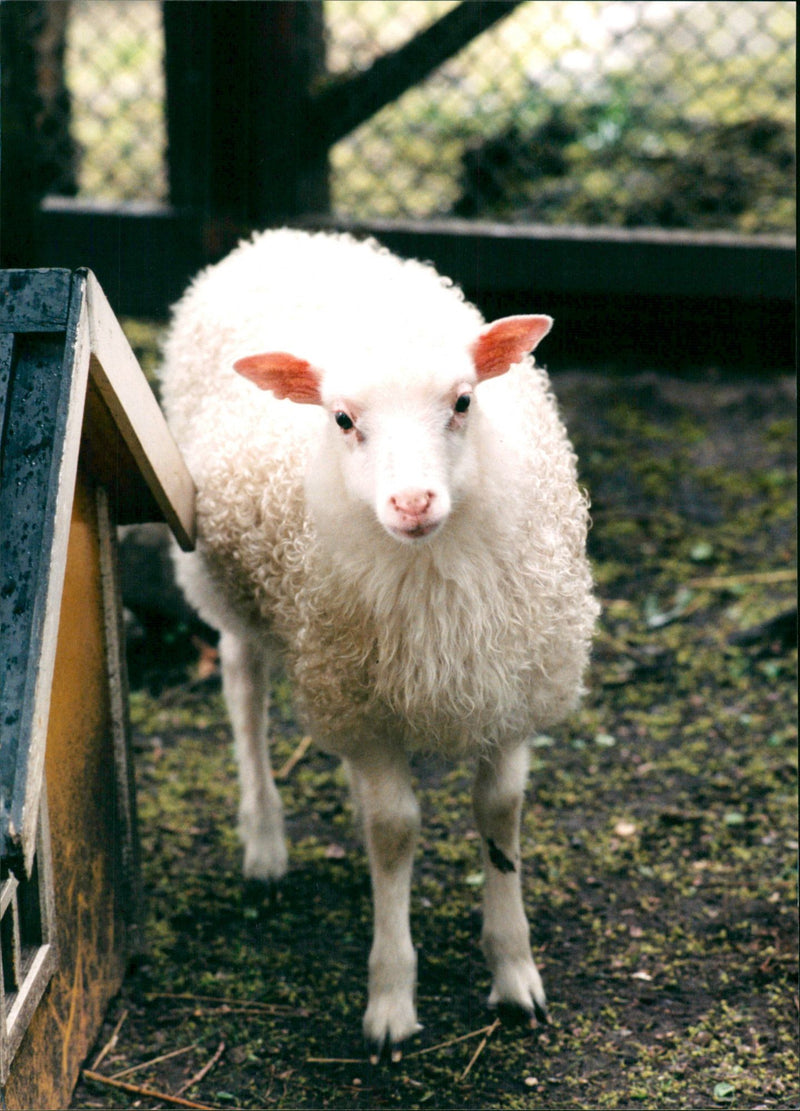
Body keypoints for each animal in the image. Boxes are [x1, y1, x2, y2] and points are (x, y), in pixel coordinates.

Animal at [158, 227, 600, 1057]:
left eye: (463, 401)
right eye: (340, 419)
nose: (413, 501)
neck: (432, 587)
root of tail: (277, 236)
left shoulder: (507, 687)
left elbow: (500, 814)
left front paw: (514, 971)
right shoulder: (364, 716)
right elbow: (393, 832)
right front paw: (391, 999)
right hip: (230, 587)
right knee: (242, 683)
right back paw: (264, 839)